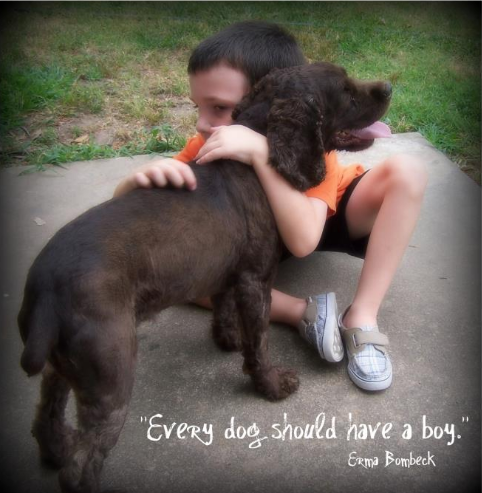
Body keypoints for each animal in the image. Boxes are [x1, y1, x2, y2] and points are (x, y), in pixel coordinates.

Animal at [18, 62, 391, 492]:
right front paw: (271, 386)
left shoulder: (231, 273)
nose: (389, 88)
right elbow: (261, 343)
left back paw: (55, 448)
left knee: (46, 409)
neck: (256, 158)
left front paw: (228, 339)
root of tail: (46, 286)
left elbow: (226, 309)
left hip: (62, 363)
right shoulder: (256, 279)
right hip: (110, 376)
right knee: (82, 463)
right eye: (346, 91)